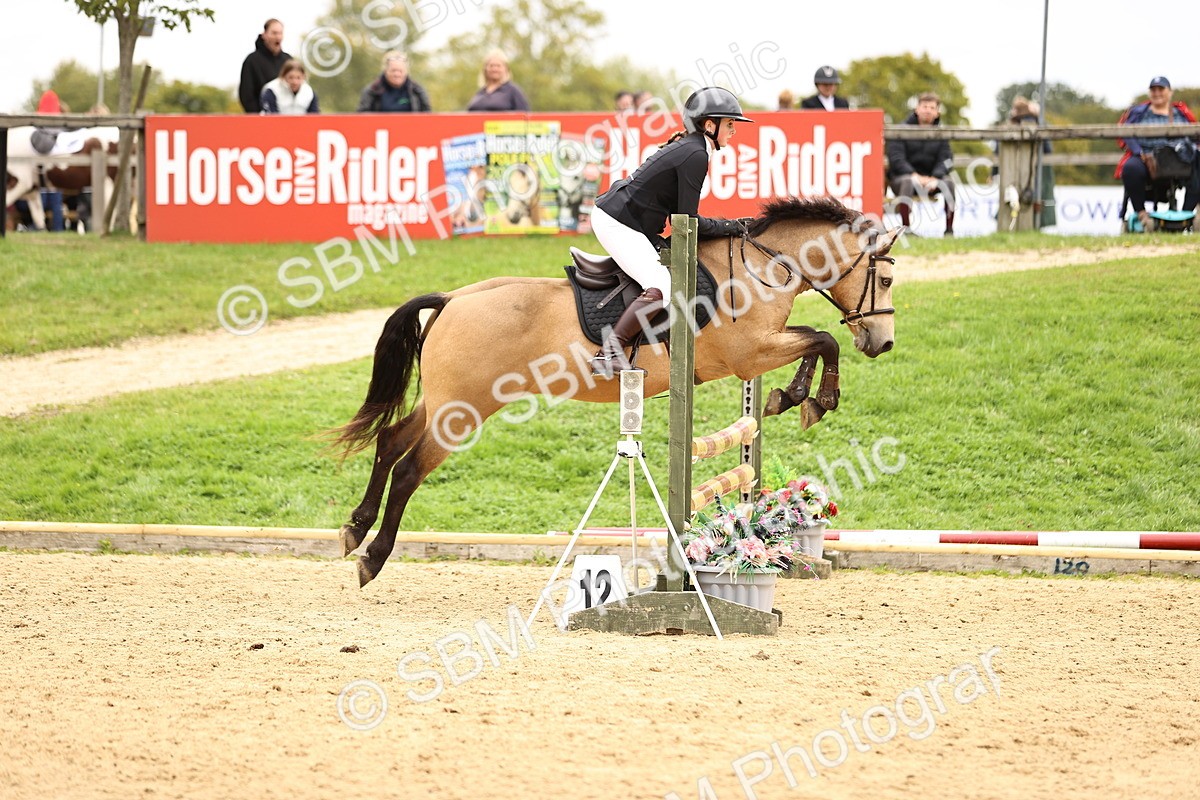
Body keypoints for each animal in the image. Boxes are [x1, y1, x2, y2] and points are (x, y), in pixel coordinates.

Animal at [328, 195, 901, 587]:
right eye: (887, 281)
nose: (883, 342)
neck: (761, 268)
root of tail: (452, 299)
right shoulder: (750, 353)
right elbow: (824, 339)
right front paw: (811, 400)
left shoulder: (760, 351)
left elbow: (817, 340)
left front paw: (793, 398)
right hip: (464, 410)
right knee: (408, 469)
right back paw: (372, 558)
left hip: (443, 404)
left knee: (389, 442)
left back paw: (355, 527)